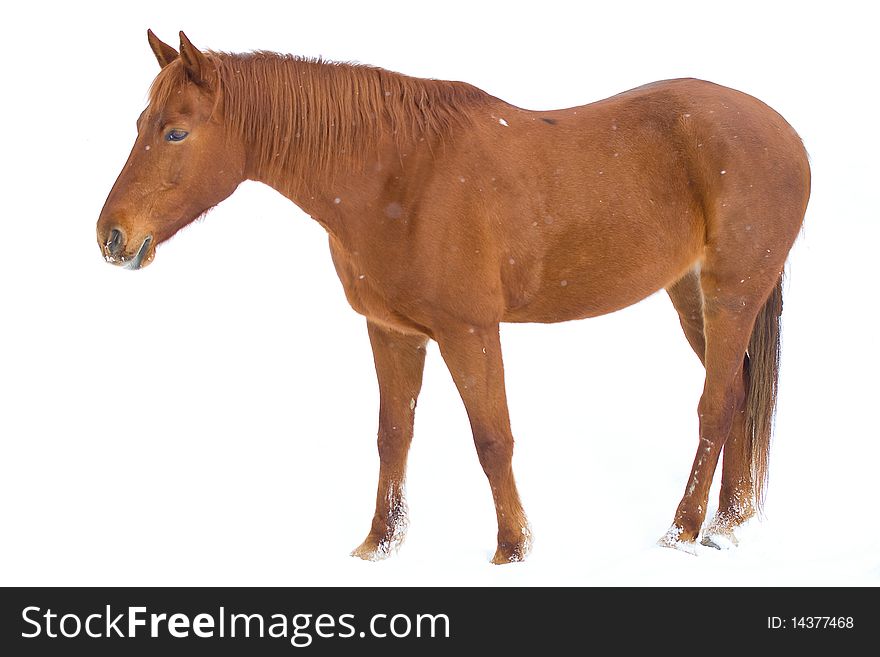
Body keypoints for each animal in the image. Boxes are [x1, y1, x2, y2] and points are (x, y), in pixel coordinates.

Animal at [98, 32, 812, 564]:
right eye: (139, 123)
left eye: (175, 133)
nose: (112, 236)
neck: (396, 173)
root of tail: (784, 131)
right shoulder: (392, 331)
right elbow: (393, 435)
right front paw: (379, 545)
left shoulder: (470, 331)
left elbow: (492, 437)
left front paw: (513, 548)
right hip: (691, 297)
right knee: (740, 395)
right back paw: (728, 524)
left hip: (730, 297)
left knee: (716, 406)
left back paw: (683, 531)